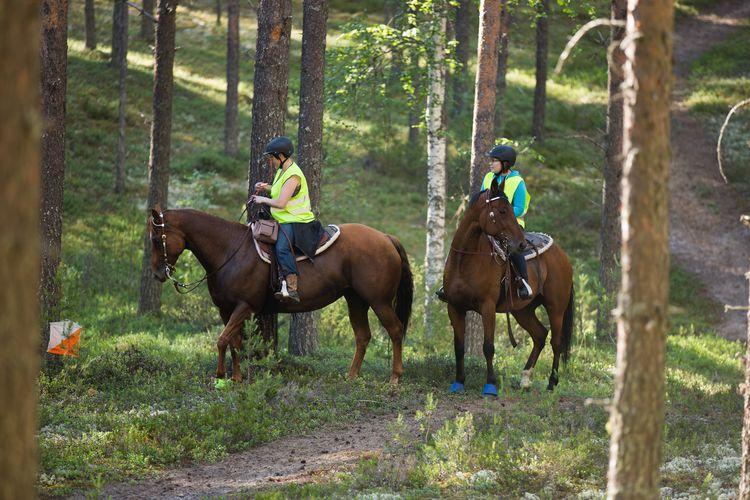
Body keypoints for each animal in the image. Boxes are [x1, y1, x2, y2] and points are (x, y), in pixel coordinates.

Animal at [147, 207, 414, 382]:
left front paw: (221, 375)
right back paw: (351, 377)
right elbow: (233, 342)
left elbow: (222, 340)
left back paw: (395, 378)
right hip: (355, 300)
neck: (230, 251)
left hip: (379, 301)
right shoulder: (226, 310)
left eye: (156, 239)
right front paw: (236, 379)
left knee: (395, 330)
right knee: (363, 336)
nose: (158, 274)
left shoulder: (245, 306)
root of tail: (386, 238)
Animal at [444, 178, 572, 392]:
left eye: (512, 209)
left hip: (556, 308)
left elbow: (488, 346)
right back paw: (525, 378)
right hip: (523, 310)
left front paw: (490, 385)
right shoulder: (454, 307)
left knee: (556, 341)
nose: (520, 244)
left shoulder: (487, 307)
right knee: (540, 335)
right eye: (502, 211)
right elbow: (459, 346)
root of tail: (563, 255)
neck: (465, 260)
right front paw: (458, 382)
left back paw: (551, 383)